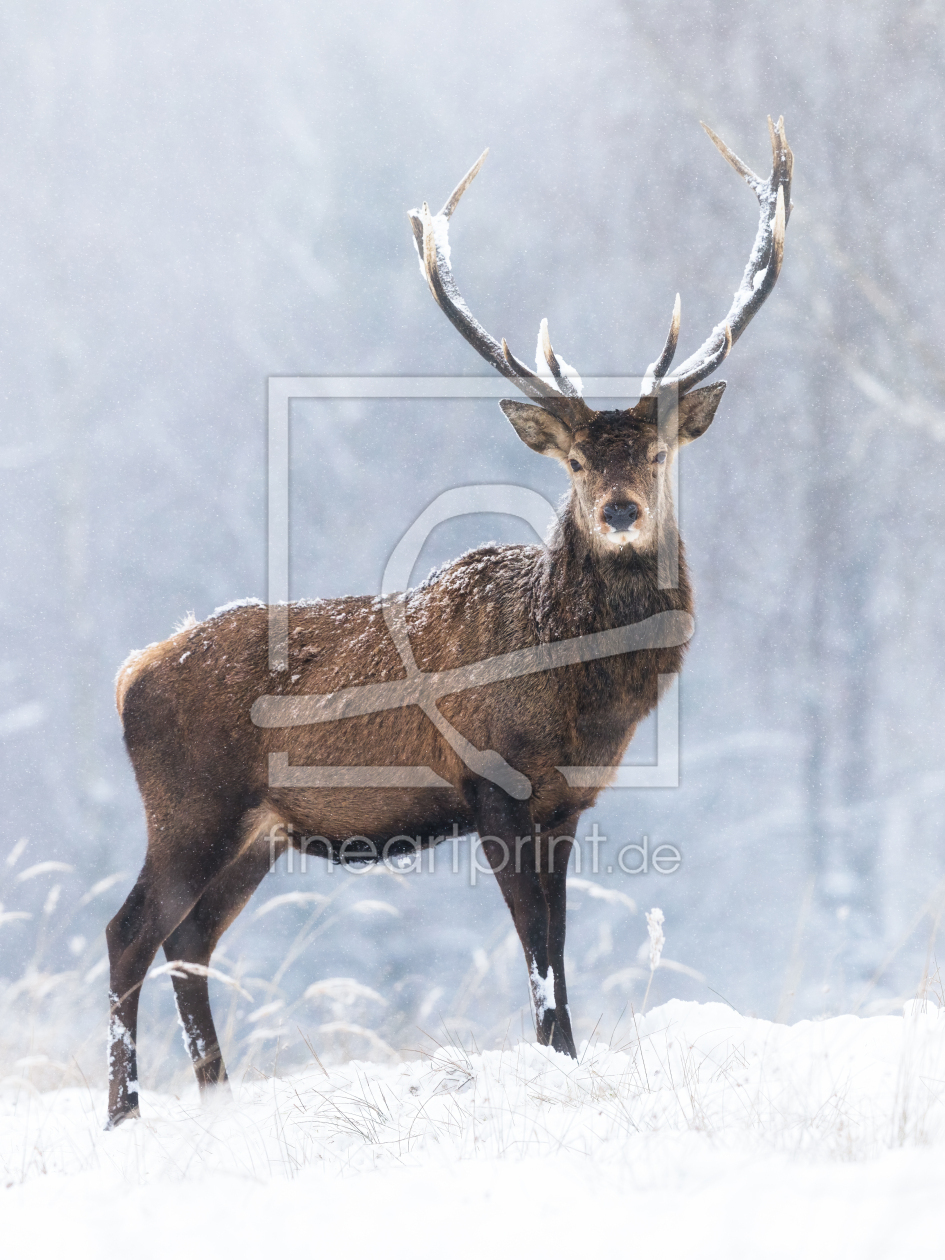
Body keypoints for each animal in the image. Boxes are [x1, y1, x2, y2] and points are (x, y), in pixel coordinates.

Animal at [105, 118, 792, 1128]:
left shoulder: (566, 803)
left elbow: (557, 946)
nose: (621, 510)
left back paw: (215, 1095)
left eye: (659, 453)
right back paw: (122, 1112)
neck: (572, 695)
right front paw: (554, 1062)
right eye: (577, 461)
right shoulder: (490, 786)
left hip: (254, 833)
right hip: (188, 803)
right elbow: (536, 953)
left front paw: (566, 1061)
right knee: (128, 933)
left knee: (188, 941)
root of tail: (130, 673)